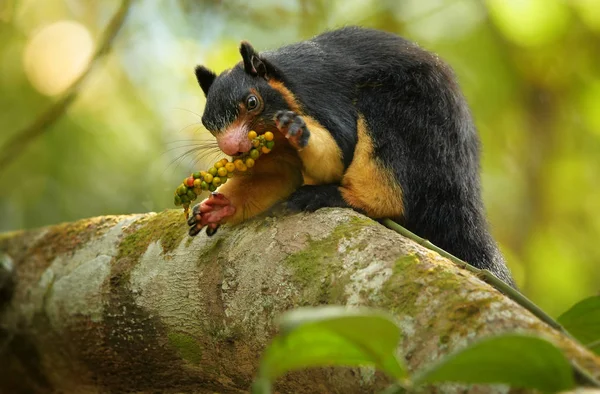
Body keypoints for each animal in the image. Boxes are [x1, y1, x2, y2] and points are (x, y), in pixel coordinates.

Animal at [185, 26, 512, 286]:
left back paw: (338, 196)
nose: (232, 148)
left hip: (408, 118)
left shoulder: (320, 99)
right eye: (207, 123)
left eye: (252, 102)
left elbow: (338, 151)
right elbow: (276, 175)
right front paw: (219, 207)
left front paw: (299, 130)